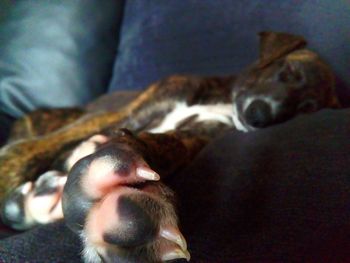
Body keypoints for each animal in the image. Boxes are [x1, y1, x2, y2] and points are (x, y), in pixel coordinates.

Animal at [0, 32, 340, 262]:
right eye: (287, 71)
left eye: (306, 109)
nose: (260, 116)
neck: (222, 101)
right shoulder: (124, 112)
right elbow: (33, 149)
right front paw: (7, 170)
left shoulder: (195, 137)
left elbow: (167, 144)